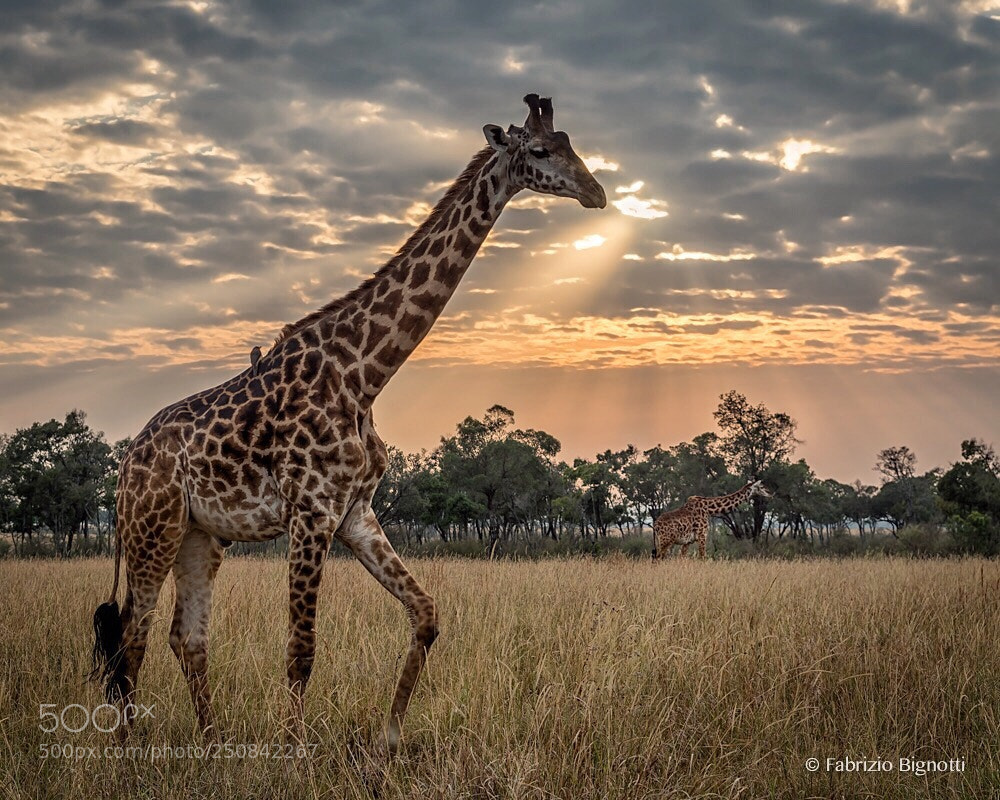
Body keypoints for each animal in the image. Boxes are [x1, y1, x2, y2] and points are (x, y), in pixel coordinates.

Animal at [91, 94, 606, 754]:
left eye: (571, 143)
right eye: (540, 150)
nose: (596, 192)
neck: (364, 376)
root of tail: (125, 466)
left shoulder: (354, 512)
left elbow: (426, 615)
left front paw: (389, 738)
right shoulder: (310, 511)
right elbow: (301, 648)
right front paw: (292, 751)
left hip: (199, 537)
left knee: (186, 636)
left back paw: (210, 744)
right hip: (151, 531)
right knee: (133, 636)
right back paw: (132, 751)